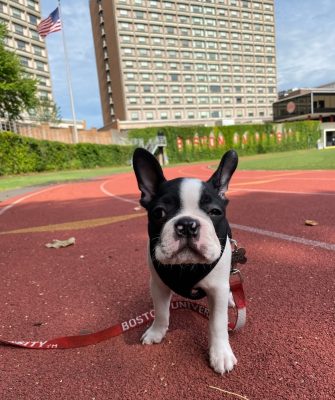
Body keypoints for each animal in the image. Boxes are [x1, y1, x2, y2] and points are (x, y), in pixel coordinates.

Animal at [133, 148, 239, 374]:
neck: (186, 267)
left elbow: (218, 322)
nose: (188, 224)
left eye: (215, 212)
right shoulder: (158, 285)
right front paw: (156, 332)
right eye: (159, 213)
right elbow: (161, 311)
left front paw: (220, 354)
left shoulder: (217, 288)